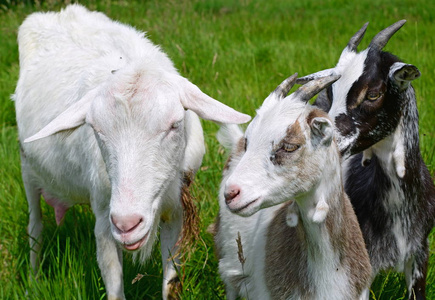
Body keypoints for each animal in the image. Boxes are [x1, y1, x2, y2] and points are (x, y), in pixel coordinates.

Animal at [13, 5, 250, 300]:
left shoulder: (176, 211)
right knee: (35, 226)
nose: (127, 224)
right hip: (27, 169)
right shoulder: (105, 219)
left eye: (174, 125)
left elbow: (170, 282)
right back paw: (33, 281)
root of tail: (57, 13)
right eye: (95, 129)